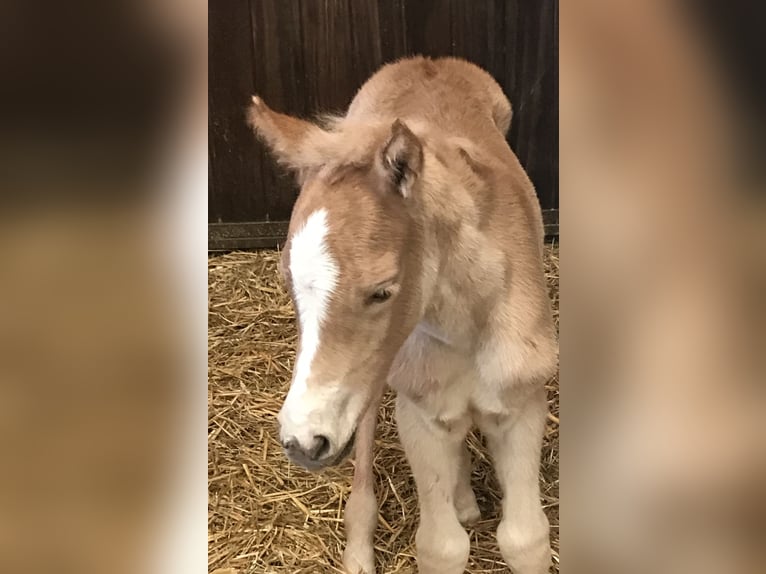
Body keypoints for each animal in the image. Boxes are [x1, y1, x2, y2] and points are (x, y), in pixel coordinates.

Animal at [252, 57, 560, 574]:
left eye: (382, 291)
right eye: (286, 282)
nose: (301, 441)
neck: (465, 326)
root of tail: (425, 61)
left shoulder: (521, 404)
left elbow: (525, 538)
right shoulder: (419, 414)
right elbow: (441, 546)